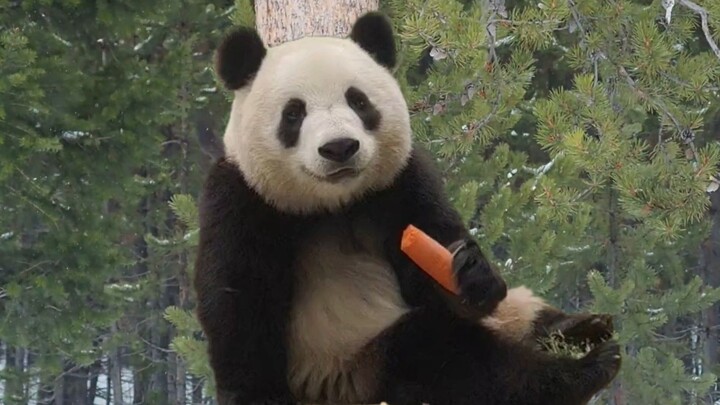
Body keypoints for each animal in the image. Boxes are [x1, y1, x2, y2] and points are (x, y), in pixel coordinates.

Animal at [194, 11, 621, 405]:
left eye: (358, 100)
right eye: (294, 113)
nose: (339, 148)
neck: (334, 203)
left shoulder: (400, 185)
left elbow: (432, 255)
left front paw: (471, 273)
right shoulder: (243, 201)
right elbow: (240, 302)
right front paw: (255, 393)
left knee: (516, 314)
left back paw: (580, 328)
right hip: (353, 368)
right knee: (444, 355)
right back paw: (580, 370)